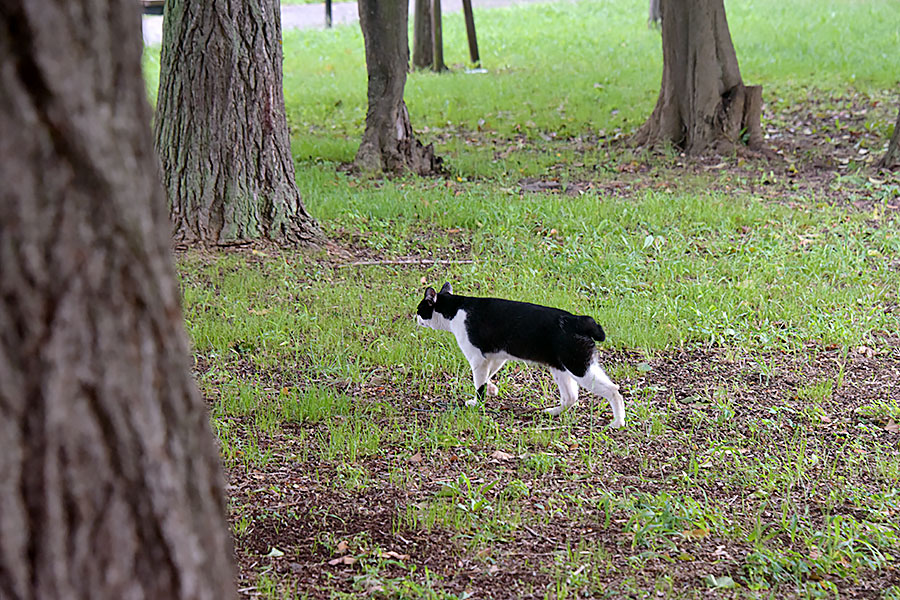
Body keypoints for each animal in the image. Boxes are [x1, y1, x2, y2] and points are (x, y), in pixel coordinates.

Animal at [416, 282, 624, 426]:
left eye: (419, 309)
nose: (415, 317)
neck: (456, 308)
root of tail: (579, 320)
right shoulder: (496, 357)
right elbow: (488, 376)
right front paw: (492, 389)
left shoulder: (477, 358)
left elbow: (478, 384)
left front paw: (477, 402)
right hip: (561, 369)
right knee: (571, 397)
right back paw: (553, 412)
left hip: (580, 367)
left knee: (613, 390)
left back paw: (618, 422)